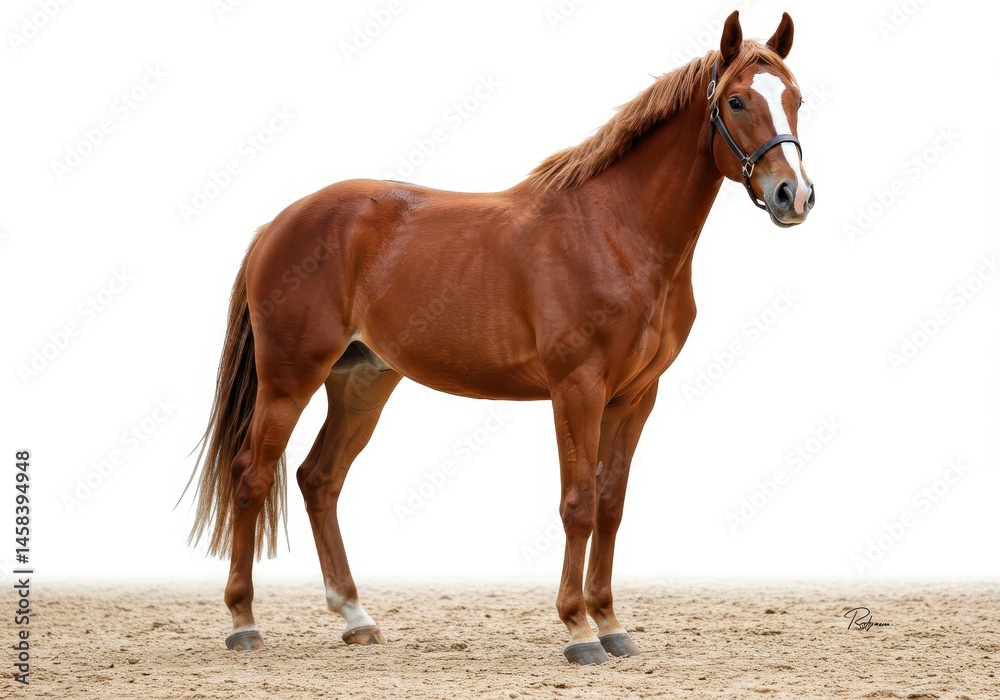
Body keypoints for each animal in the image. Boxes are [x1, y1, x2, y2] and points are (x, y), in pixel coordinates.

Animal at [185, 10, 814, 665]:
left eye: (797, 99)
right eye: (737, 100)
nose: (793, 195)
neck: (615, 231)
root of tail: (278, 224)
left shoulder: (636, 397)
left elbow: (611, 506)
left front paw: (612, 625)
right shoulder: (577, 389)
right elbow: (578, 504)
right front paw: (579, 631)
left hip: (362, 382)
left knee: (319, 479)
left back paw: (356, 616)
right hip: (290, 379)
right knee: (251, 475)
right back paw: (243, 622)